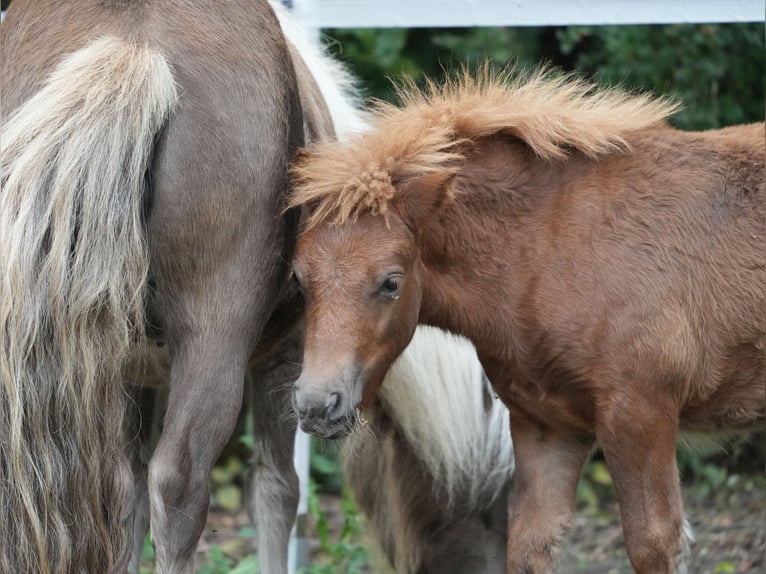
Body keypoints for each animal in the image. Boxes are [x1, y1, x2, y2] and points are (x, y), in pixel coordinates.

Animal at [288, 72, 766, 574]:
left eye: (391, 282)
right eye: (298, 277)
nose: (317, 405)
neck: (548, 251)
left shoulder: (640, 415)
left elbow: (653, 544)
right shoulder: (547, 426)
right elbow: (529, 547)